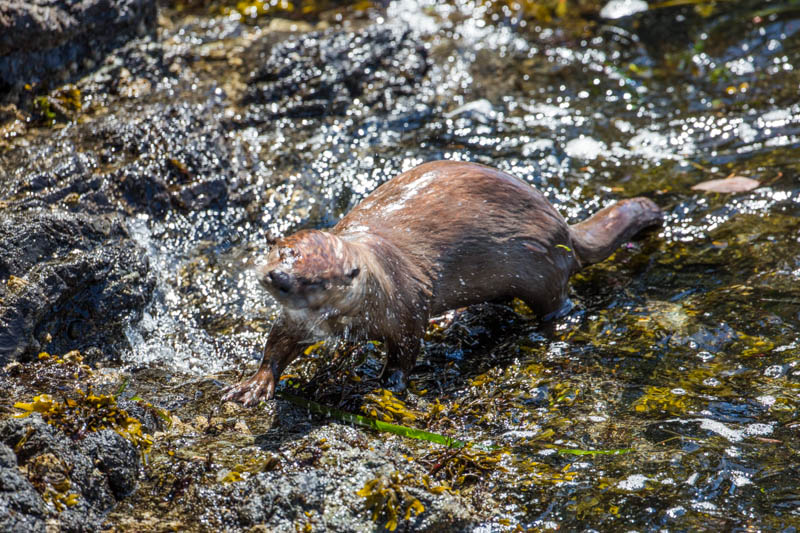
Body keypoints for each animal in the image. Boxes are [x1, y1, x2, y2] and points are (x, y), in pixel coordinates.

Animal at [223, 160, 664, 406]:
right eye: (279, 253)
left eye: (315, 280)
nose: (277, 278)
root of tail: (563, 227)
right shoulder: (296, 322)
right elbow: (276, 347)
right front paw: (254, 385)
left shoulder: (406, 305)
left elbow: (405, 351)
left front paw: (389, 383)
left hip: (544, 270)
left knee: (559, 302)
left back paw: (550, 328)